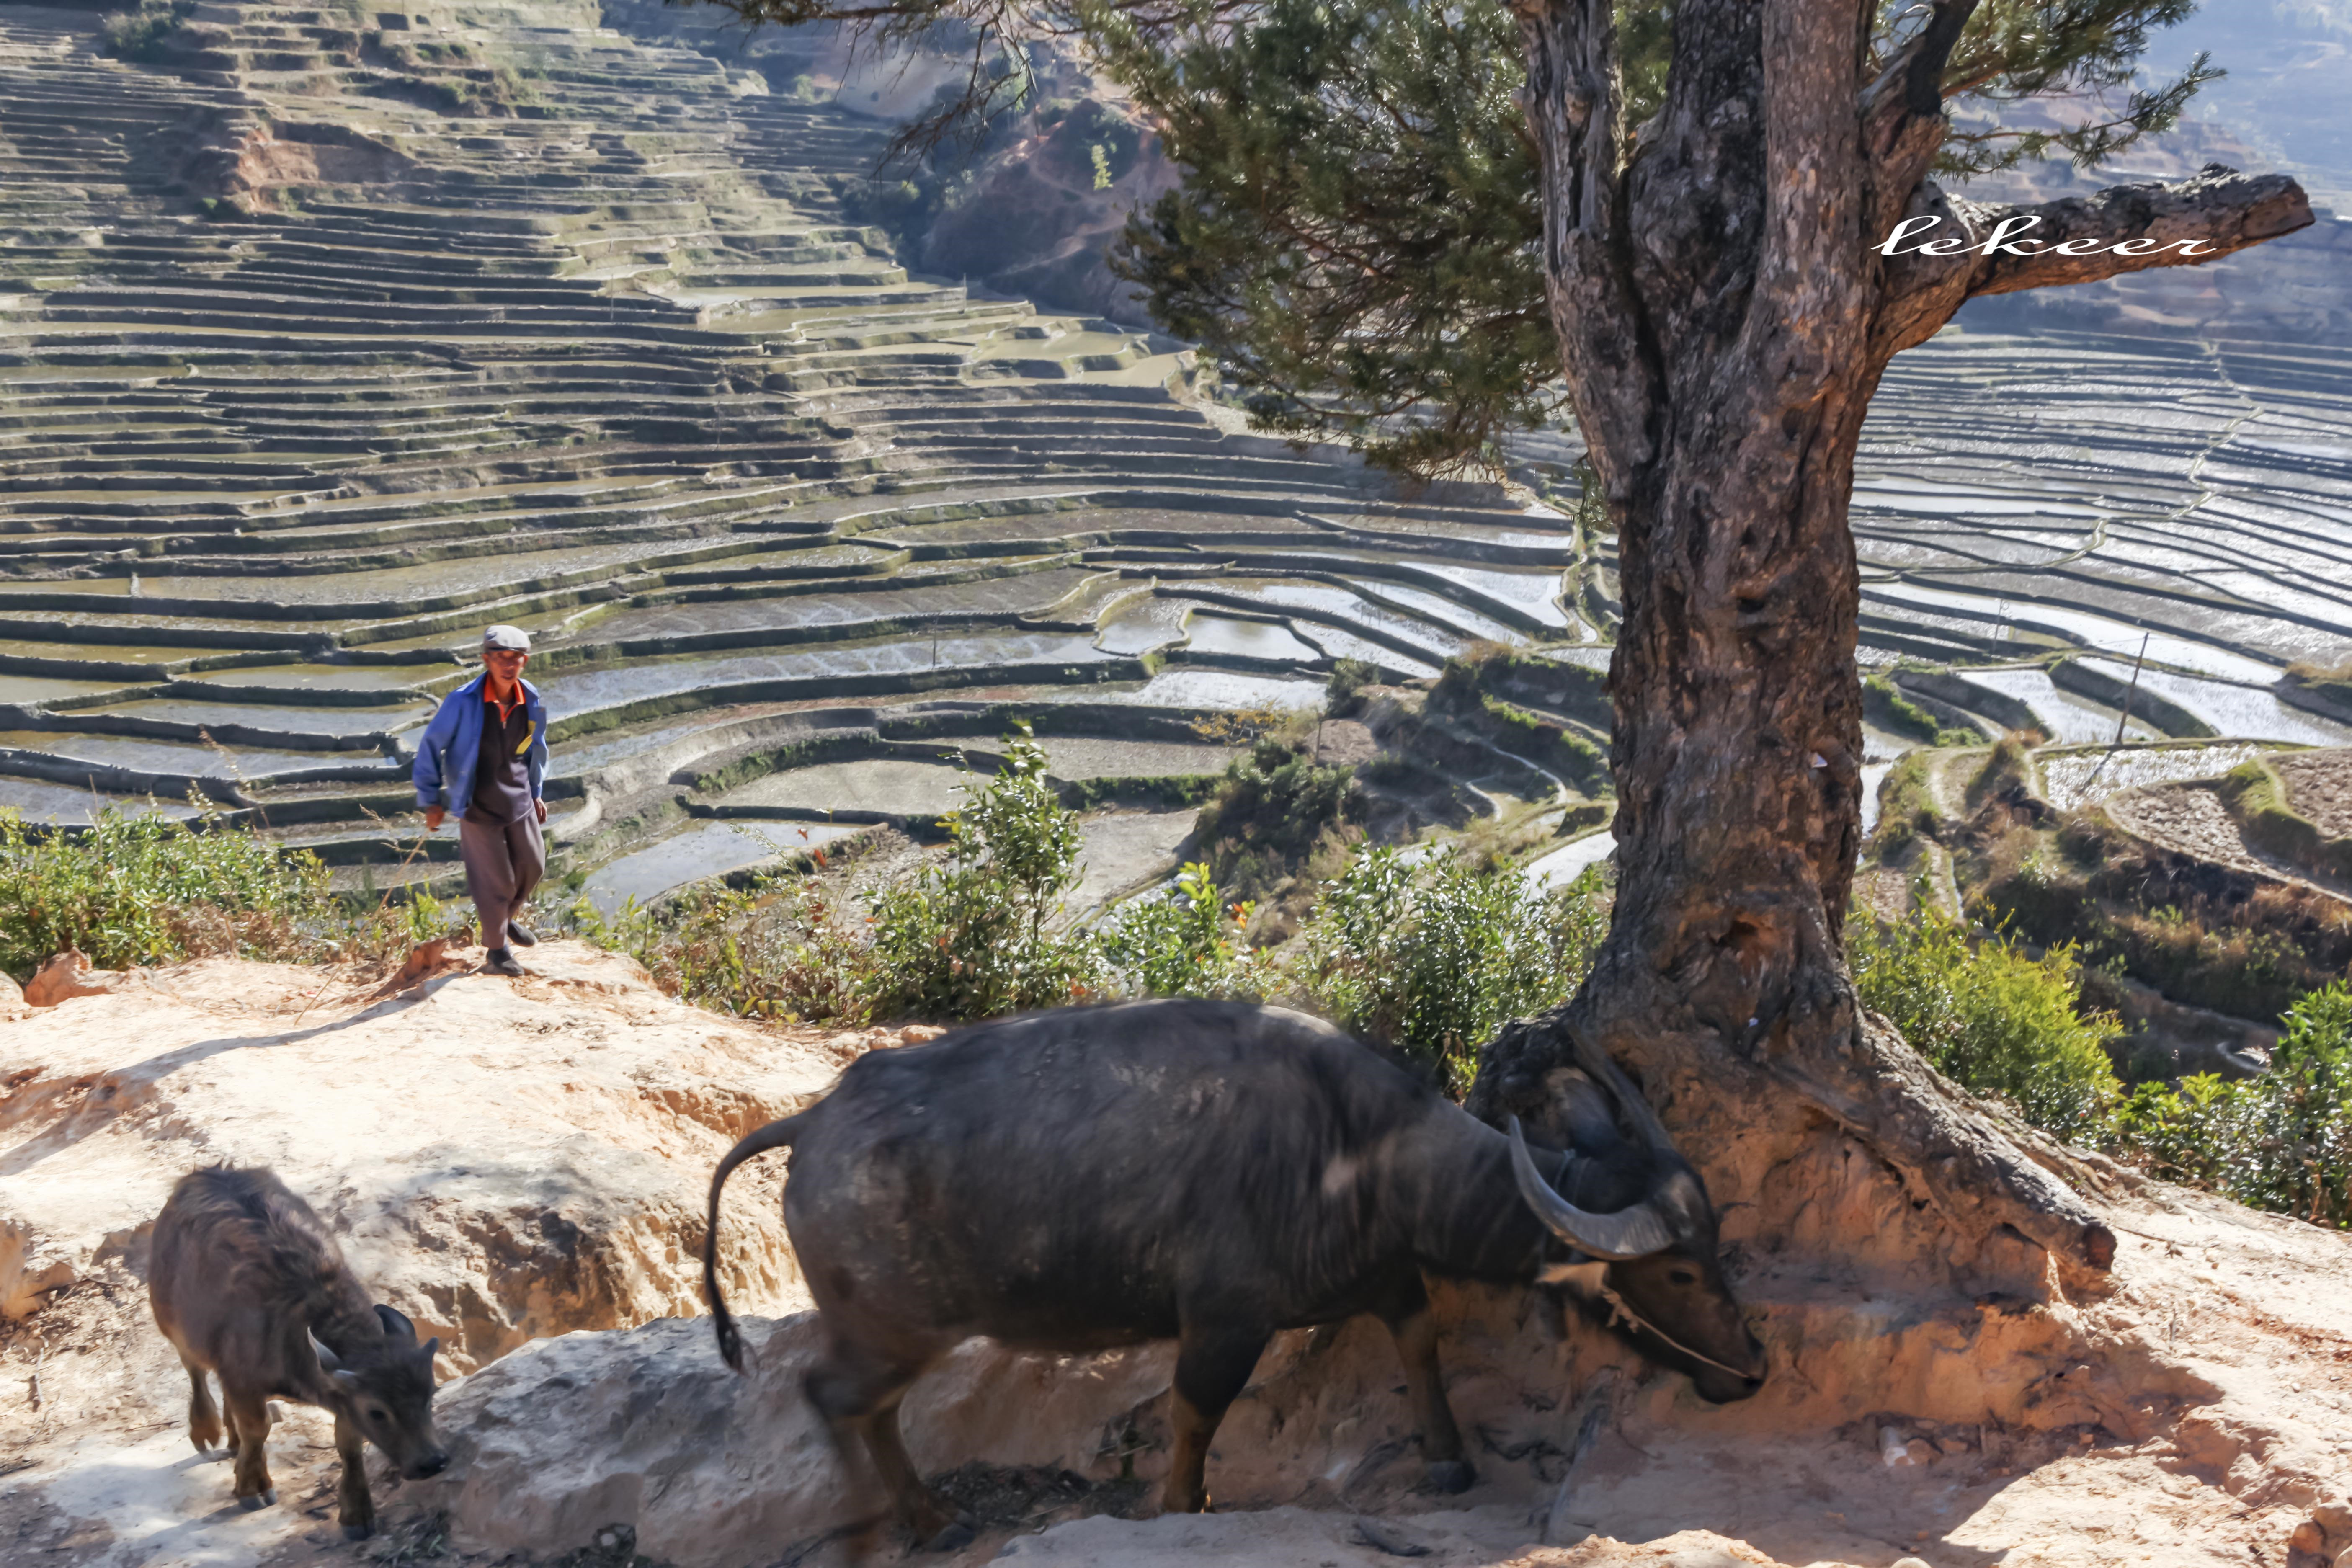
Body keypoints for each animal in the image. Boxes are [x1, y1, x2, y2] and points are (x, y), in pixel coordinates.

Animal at [148, 1166, 449, 1542]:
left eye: (431, 1395)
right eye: (377, 1412)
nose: (433, 1462)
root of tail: (202, 1174)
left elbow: (348, 1442)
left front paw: (357, 1513)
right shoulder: (245, 1381)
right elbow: (258, 1429)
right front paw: (252, 1488)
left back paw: (231, 1440)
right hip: (175, 1326)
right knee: (196, 1373)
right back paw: (207, 1431)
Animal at [701, 1001, 1769, 1551]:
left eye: (1715, 1242)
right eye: (1677, 1270)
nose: (1754, 1367)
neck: (1357, 1150)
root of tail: (813, 1122)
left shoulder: (1384, 1278)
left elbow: (1420, 1342)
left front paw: (1448, 1453)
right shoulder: (1224, 1322)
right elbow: (1195, 1414)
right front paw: (1186, 1504)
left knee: (863, 1406)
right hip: (892, 1330)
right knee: (834, 1396)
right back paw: (898, 1517)